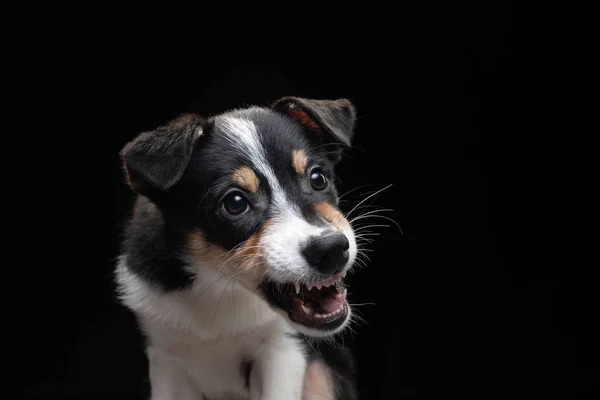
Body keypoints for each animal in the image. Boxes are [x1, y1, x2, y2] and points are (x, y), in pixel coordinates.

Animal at [116, 97, 360, 400]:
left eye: (318, 179)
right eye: (235, 203)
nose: (332, 250)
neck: (218, 283)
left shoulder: (282, 349)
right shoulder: (166, 358)